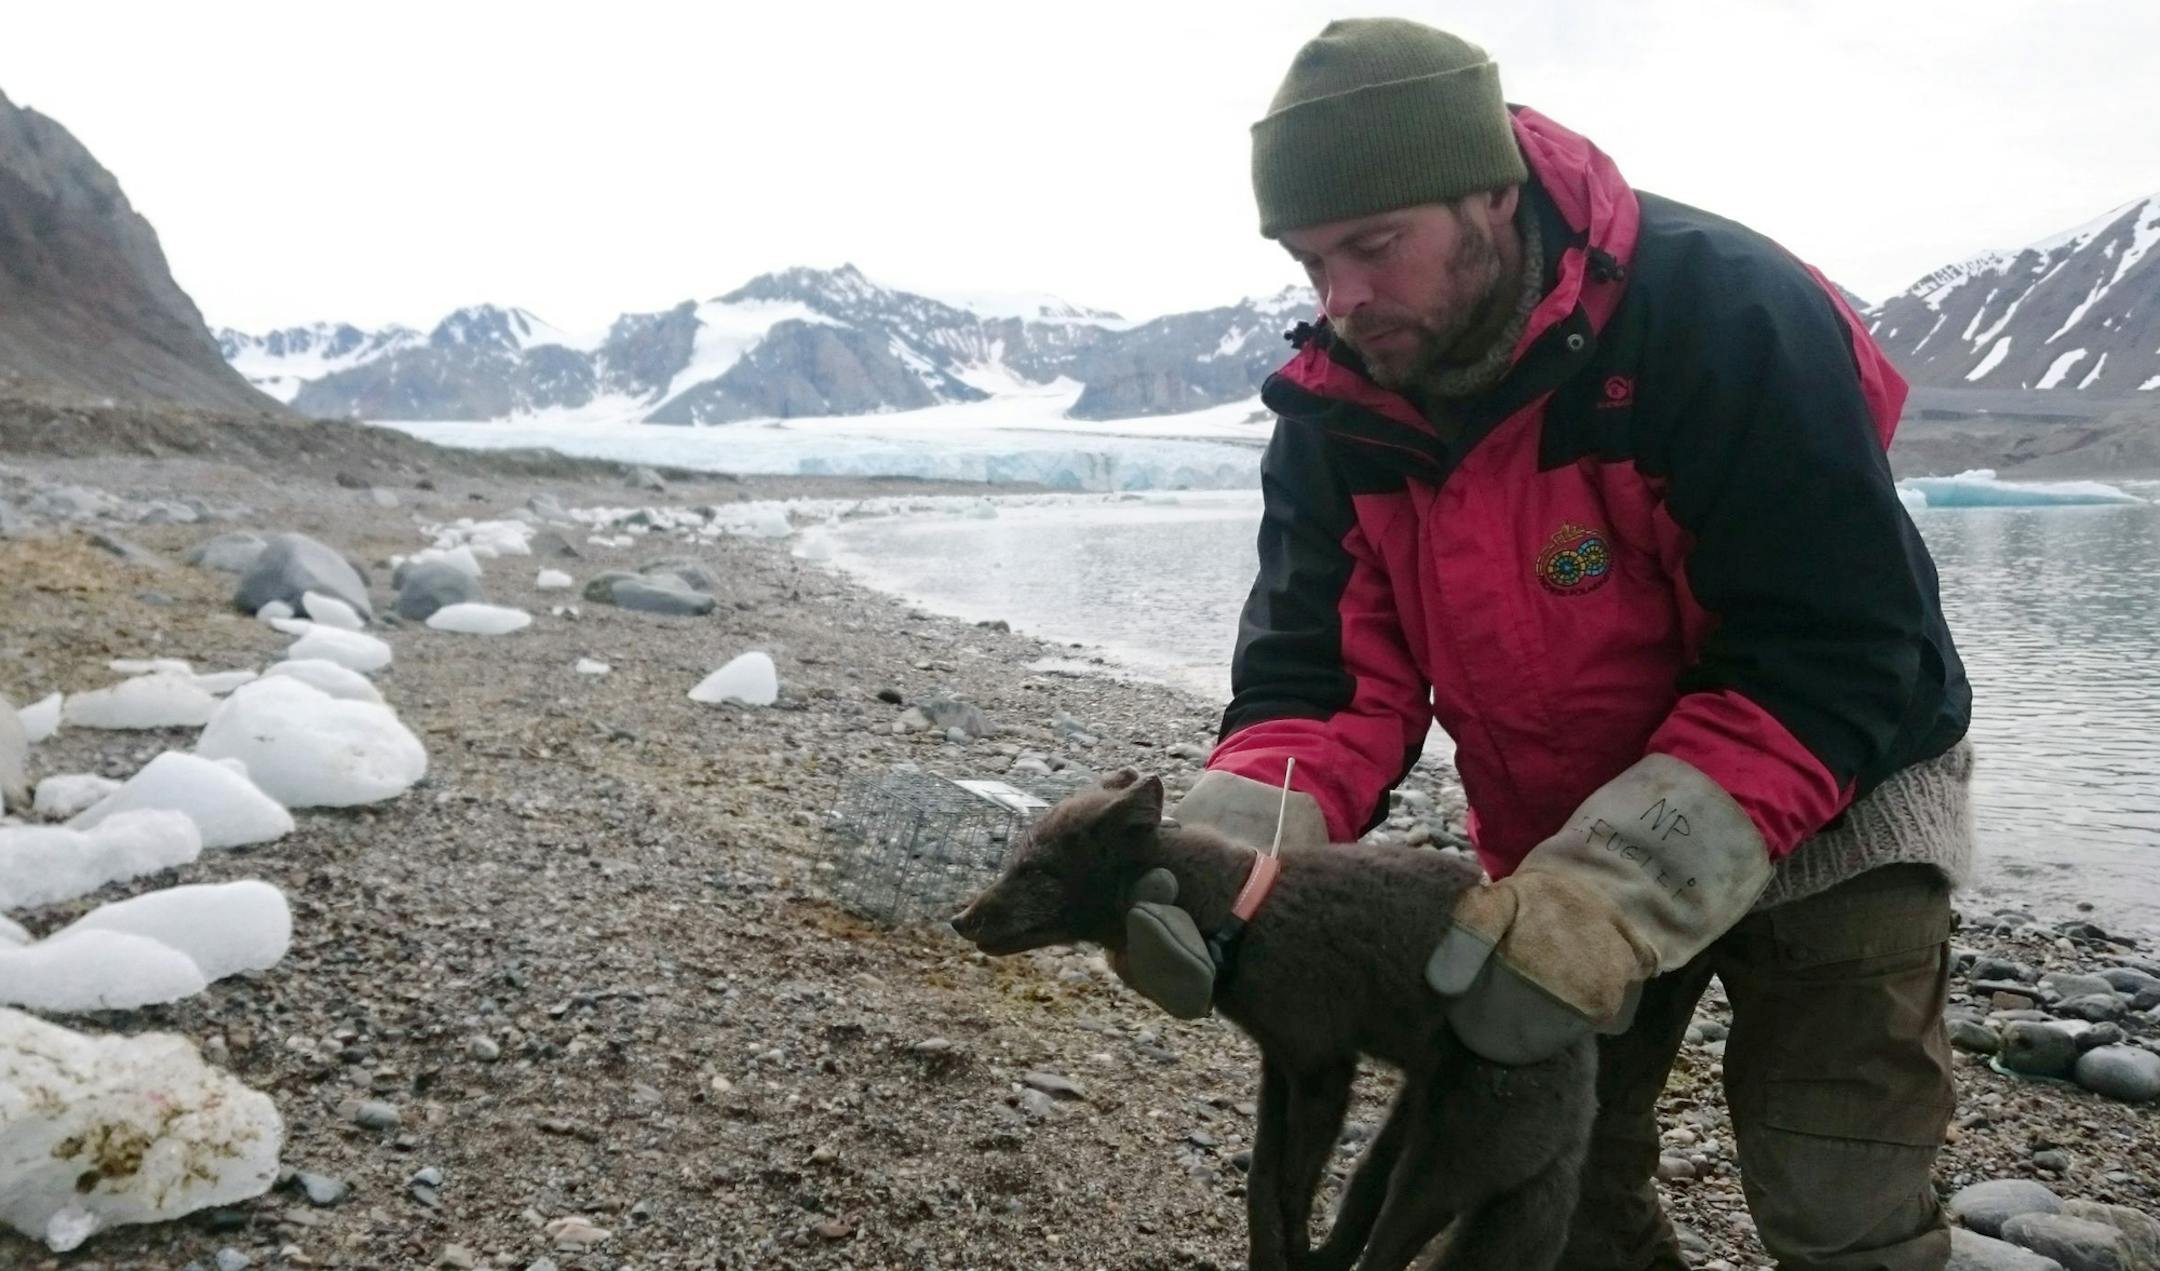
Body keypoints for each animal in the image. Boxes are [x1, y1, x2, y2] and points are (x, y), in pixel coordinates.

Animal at [950, 769, 1596, 1271]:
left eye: (1037, 873)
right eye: (1015, 864)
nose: (960, 919)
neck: (1245, 914)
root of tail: (1583, 1105)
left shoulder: (1322, 1069)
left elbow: (1292, 1183)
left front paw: (1289, 1239)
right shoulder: (1279, 1066)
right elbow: (1263, 1177)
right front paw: (1272, 1250)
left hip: (1439, 1167)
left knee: (1389, 1245)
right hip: (1401, 1134)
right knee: (1360, 1212)